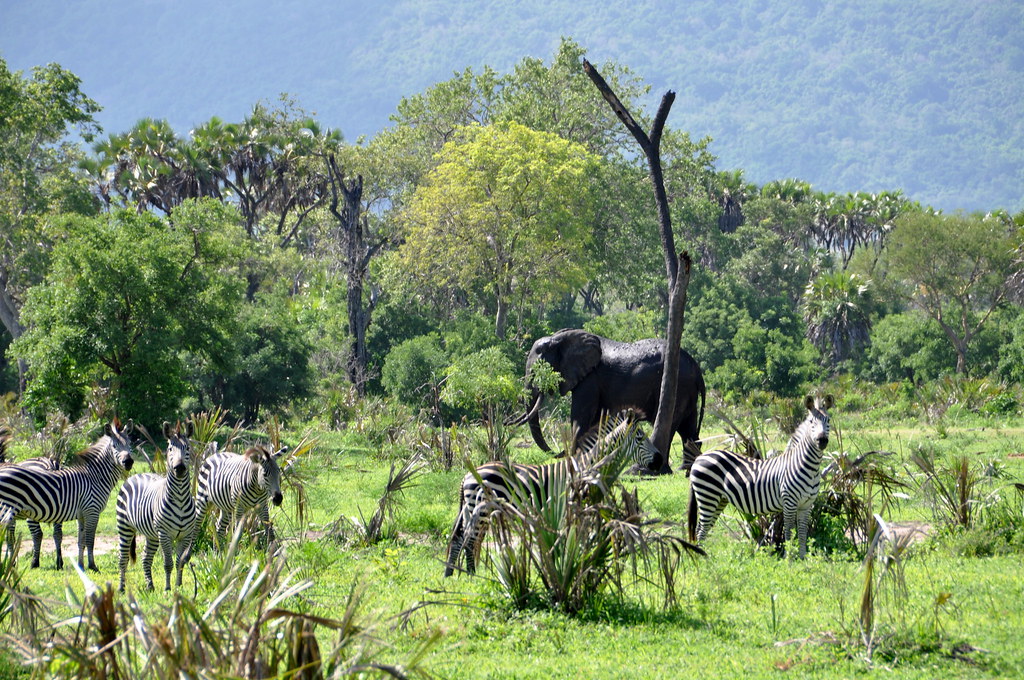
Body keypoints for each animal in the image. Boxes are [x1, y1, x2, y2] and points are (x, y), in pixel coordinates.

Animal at [0, 420, 135, 571]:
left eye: (129, 444)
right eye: (114, 446)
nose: (128, 462)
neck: (95, 476)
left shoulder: (82, 514)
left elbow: (81, 541)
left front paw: (81, 565)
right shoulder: (92, 511)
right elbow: (90, 540)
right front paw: (93, 566)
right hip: (6, 510)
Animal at [116, 422, 195, 592]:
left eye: (187, 448)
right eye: (170, 448)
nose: (179, 468)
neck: (180, 498)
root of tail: (135, 475)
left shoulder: (186, 535)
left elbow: (180, 562)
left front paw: (178, 586)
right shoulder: (164, 534)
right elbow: (168, 563)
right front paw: (167, 589)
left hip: (151, 534)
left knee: (145, 557)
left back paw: (150, 585)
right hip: (125, 527)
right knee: (123, 558)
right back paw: (121, 588)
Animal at [444, 411, 657, 576]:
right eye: (640, 438)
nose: (660, 459)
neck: (585, 466)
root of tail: (468, 475)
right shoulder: (569, 502)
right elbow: (573, 535)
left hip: (470, 508)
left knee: (459, 538)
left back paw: (451, 574)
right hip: (482, 508)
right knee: (470, 539)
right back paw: (471, 575)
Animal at [687, 394, 833, 559]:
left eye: (828, 420)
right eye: (811, 422)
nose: (822, 441)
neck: (809, 467)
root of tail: (699, 457)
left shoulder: (806, 505)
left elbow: (802, 533)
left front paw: (802, 559)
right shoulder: (789, 503)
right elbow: (789, 532)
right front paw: (788, 559)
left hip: (719, 499)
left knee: (703, 527)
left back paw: (704, 556)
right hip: (707, 495)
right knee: (701, 528)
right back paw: (702, 559)